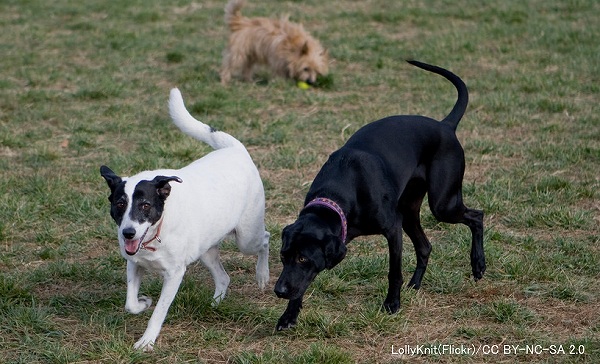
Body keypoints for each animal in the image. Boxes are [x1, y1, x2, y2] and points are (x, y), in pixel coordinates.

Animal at [101, 87, 270, 350]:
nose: (128, 233)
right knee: (224, 277)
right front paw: (143, 302)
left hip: (247, 237)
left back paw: (263, 276)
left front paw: (147, 341)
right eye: (120, 204)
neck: (156, 234)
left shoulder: (174, 275)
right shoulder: (134, 263)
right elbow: (131, 303)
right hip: (206, 250)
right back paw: (214, 304)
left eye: (145, 205)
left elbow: (159, 312)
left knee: (265, 239)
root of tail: (235, 149)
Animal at [274, 60, 486, 330]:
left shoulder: (392, 228)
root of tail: (445, 125)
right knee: (425, 246)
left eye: (303, 259)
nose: (279, 291)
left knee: (477, 216)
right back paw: (415, 285)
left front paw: (392, 304)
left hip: (442, 204)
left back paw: (478, 264)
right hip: (409, 210)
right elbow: (301, 286)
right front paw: (289, 315)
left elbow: (393, 272)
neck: (340, 193)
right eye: (284, 256)